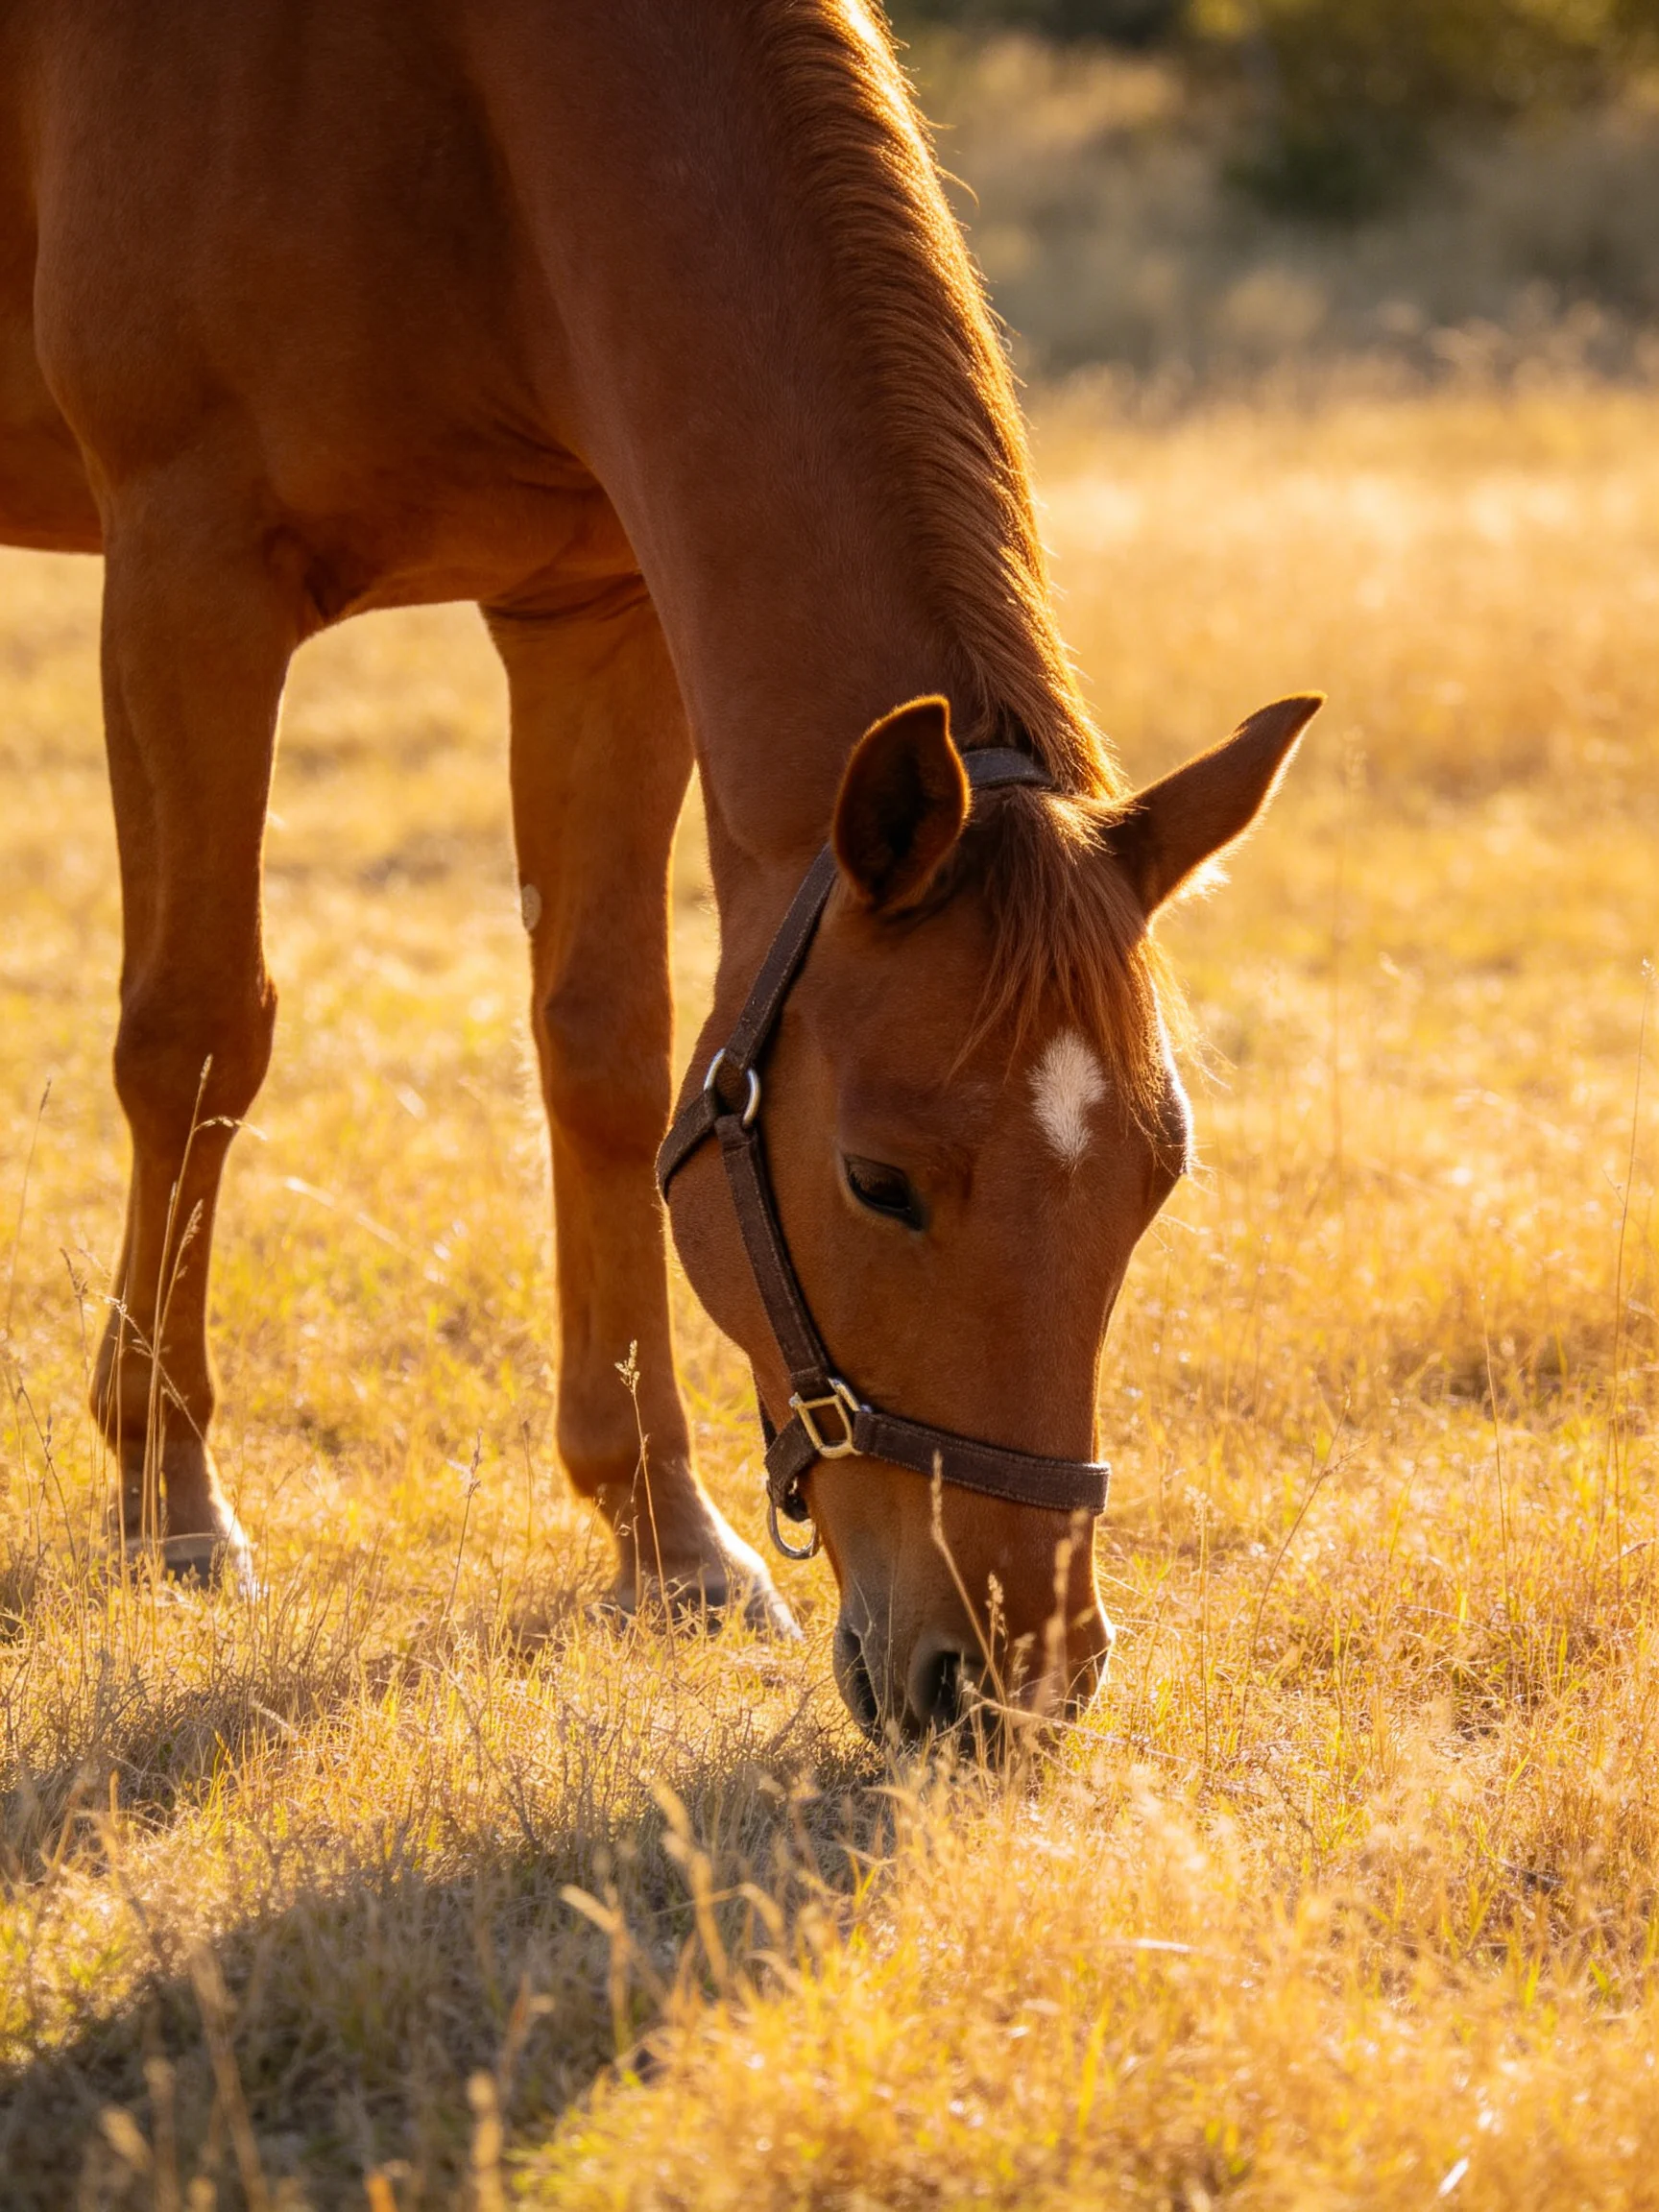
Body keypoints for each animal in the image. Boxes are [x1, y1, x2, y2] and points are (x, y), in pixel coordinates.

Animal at [0, 0, 1317, 1738]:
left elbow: (606, 1054)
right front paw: (172, 1498)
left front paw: (662, 1534)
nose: (1010, 1679)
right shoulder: (187, 572)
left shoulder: (594, 610)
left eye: (1156, 1176)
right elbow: (198, 1033)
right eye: (878, 1181)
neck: (451, 96)